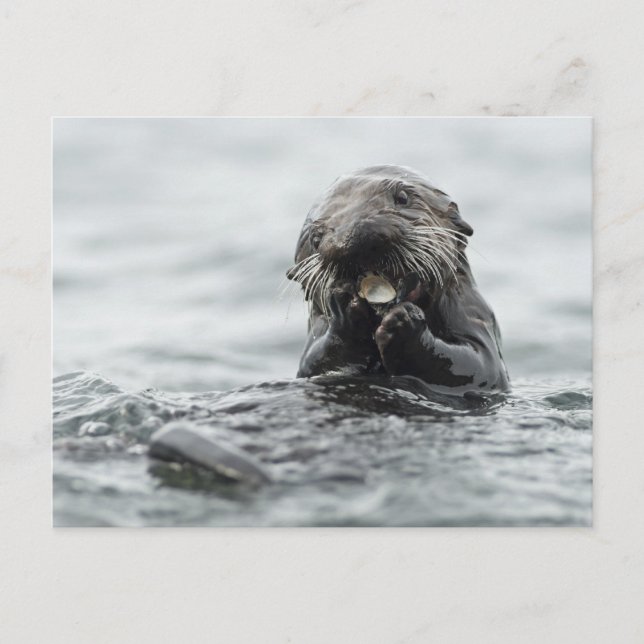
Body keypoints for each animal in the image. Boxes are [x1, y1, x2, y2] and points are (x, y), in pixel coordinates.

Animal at [286, 165, 509, 395]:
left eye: (402, 197)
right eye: (315, 238)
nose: (353, 236)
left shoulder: (475, 315)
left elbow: (480, 365)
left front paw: (405, 321)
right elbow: (316, 363)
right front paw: (345, 311)